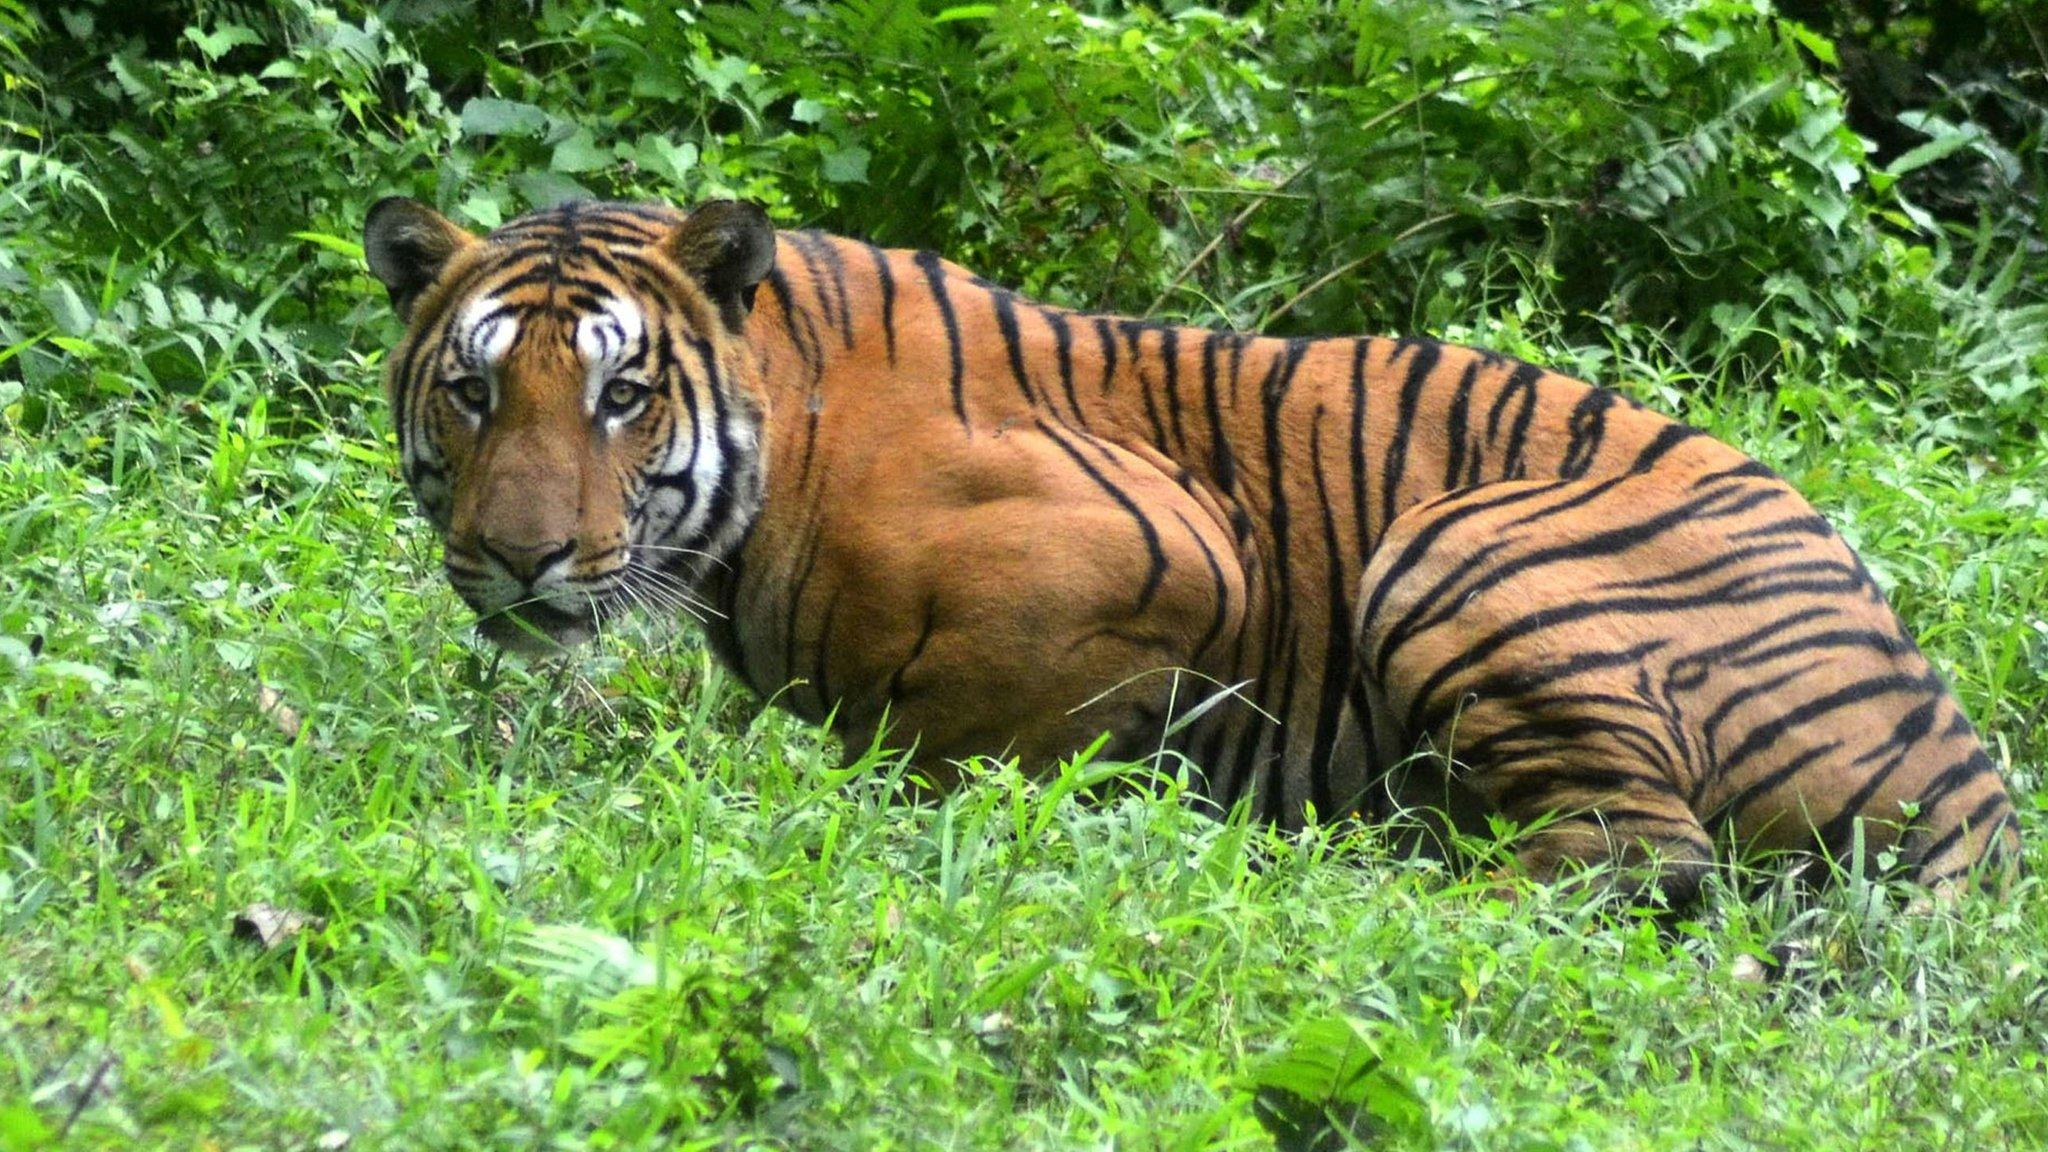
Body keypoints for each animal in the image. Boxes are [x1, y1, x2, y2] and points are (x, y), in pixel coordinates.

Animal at [364, 192, 2015, 901]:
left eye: (623, 395)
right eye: (475, 389)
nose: (518, 557)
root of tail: (1967, 768)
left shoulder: (1170, 550)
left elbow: (967, 743)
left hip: (1461, 545)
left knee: (1632, 858)